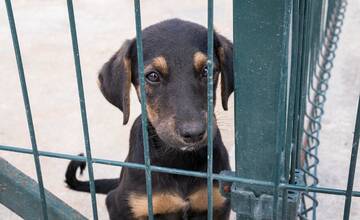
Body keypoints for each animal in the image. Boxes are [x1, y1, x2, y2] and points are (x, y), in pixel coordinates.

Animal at [65, 18, 233, 220]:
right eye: (152, 76)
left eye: (207, 70)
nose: (194, 133)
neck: (178, 162)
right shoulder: (122, 204)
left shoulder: (218, 203)